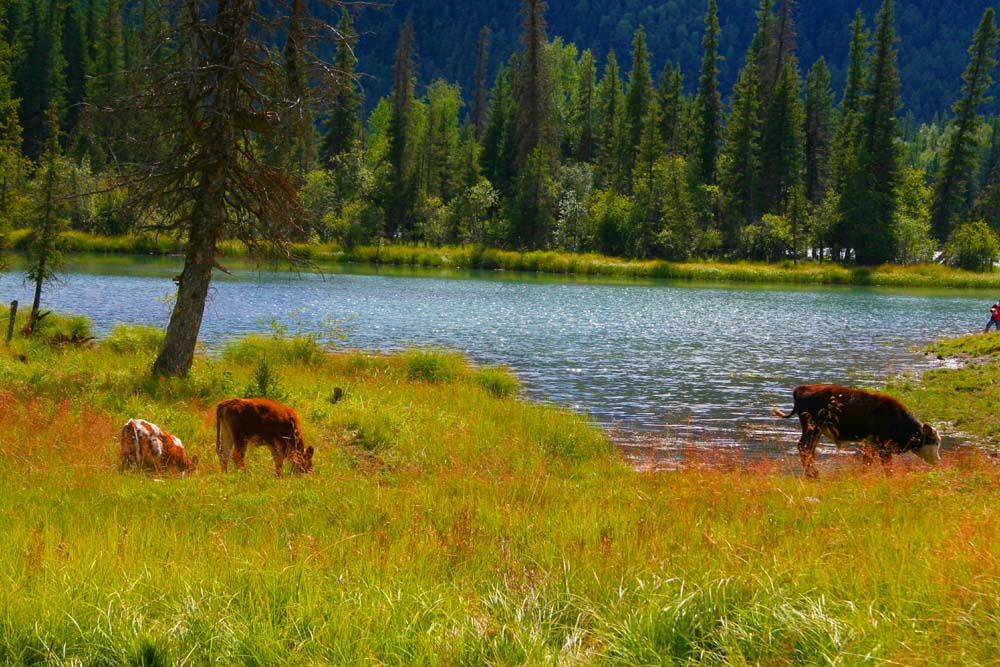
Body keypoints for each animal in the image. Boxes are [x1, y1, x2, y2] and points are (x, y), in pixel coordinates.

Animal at [768, 384, 940, 478]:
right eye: (934, 441)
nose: (938, 460)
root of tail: (801, 388)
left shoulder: (869, 443)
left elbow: (867, 462)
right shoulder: (883, 446)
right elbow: (886, 466)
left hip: (816, 430)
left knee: (809, 449)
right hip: (811, 428)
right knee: (804, 447)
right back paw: (812, 474)